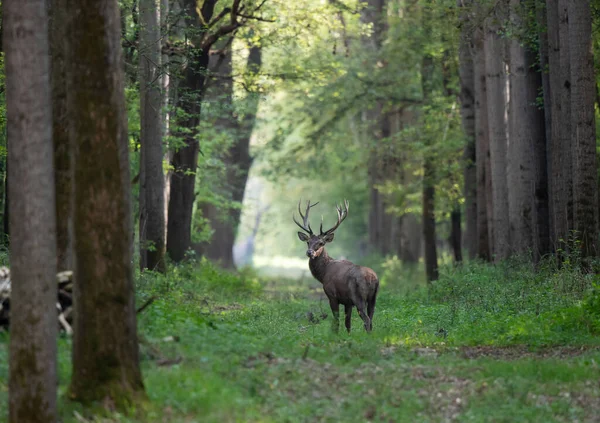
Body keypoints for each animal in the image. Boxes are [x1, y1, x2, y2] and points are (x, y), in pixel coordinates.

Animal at [296, 200, 380, 332]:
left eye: (321, 243)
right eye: (308, 242)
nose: (310, 252)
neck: (323, 274)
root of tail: (372, 278)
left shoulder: (332, 295)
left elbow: (336, 322)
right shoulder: (347, 302)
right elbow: (347, 323)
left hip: (359, 297)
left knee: (366, 319)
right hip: (373, 298)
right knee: (371, 319)